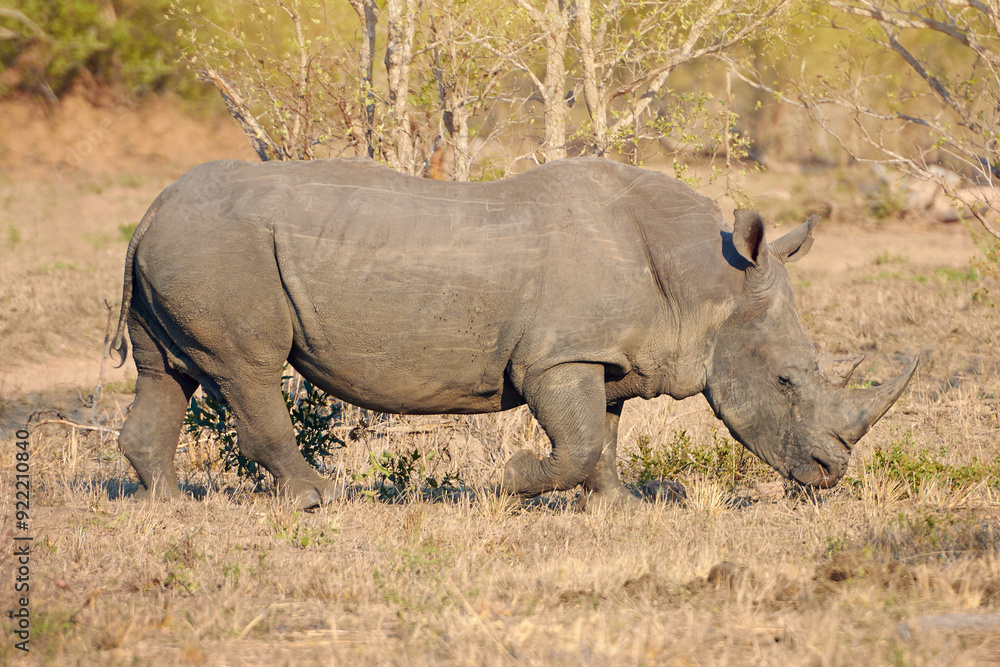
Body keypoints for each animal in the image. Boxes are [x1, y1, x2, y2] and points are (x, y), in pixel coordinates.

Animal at [110, 157, 916, 509]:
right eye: (785, 380)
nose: (831, 472)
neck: (705, 283)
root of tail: (148, 212)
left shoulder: (601, 355)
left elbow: (603, 438)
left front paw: (619, 508)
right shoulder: (557, 356)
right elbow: (579, 441)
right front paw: (511, 482)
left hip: (185, 246)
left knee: (167, 373)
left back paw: (167, 506)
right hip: (220, 250)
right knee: (247, 368)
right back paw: (318, 500)